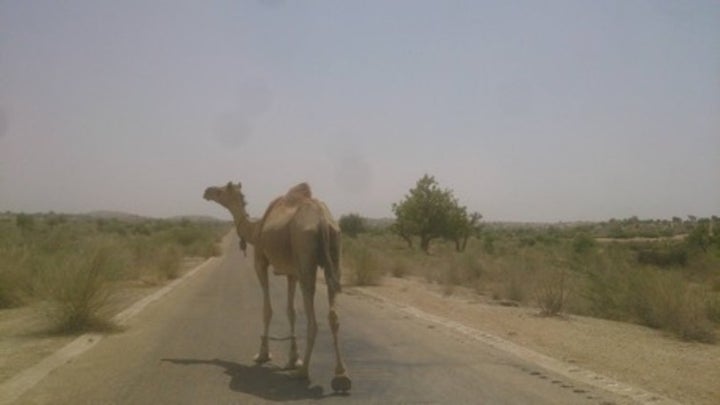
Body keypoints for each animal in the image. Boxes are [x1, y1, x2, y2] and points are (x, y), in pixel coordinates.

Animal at [202, 180, 352, 392]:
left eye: (222, 190)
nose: (207, 191)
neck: (255, 230)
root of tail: (323, 220)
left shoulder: (260, 262)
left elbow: (267, 309)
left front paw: (263, 354)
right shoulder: (291, 272)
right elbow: (291, 311)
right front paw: (292, 359)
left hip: (305, 255)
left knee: (313, 320)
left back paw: (303, 373)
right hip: (336, 253)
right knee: (333, 315)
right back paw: (341, 376)